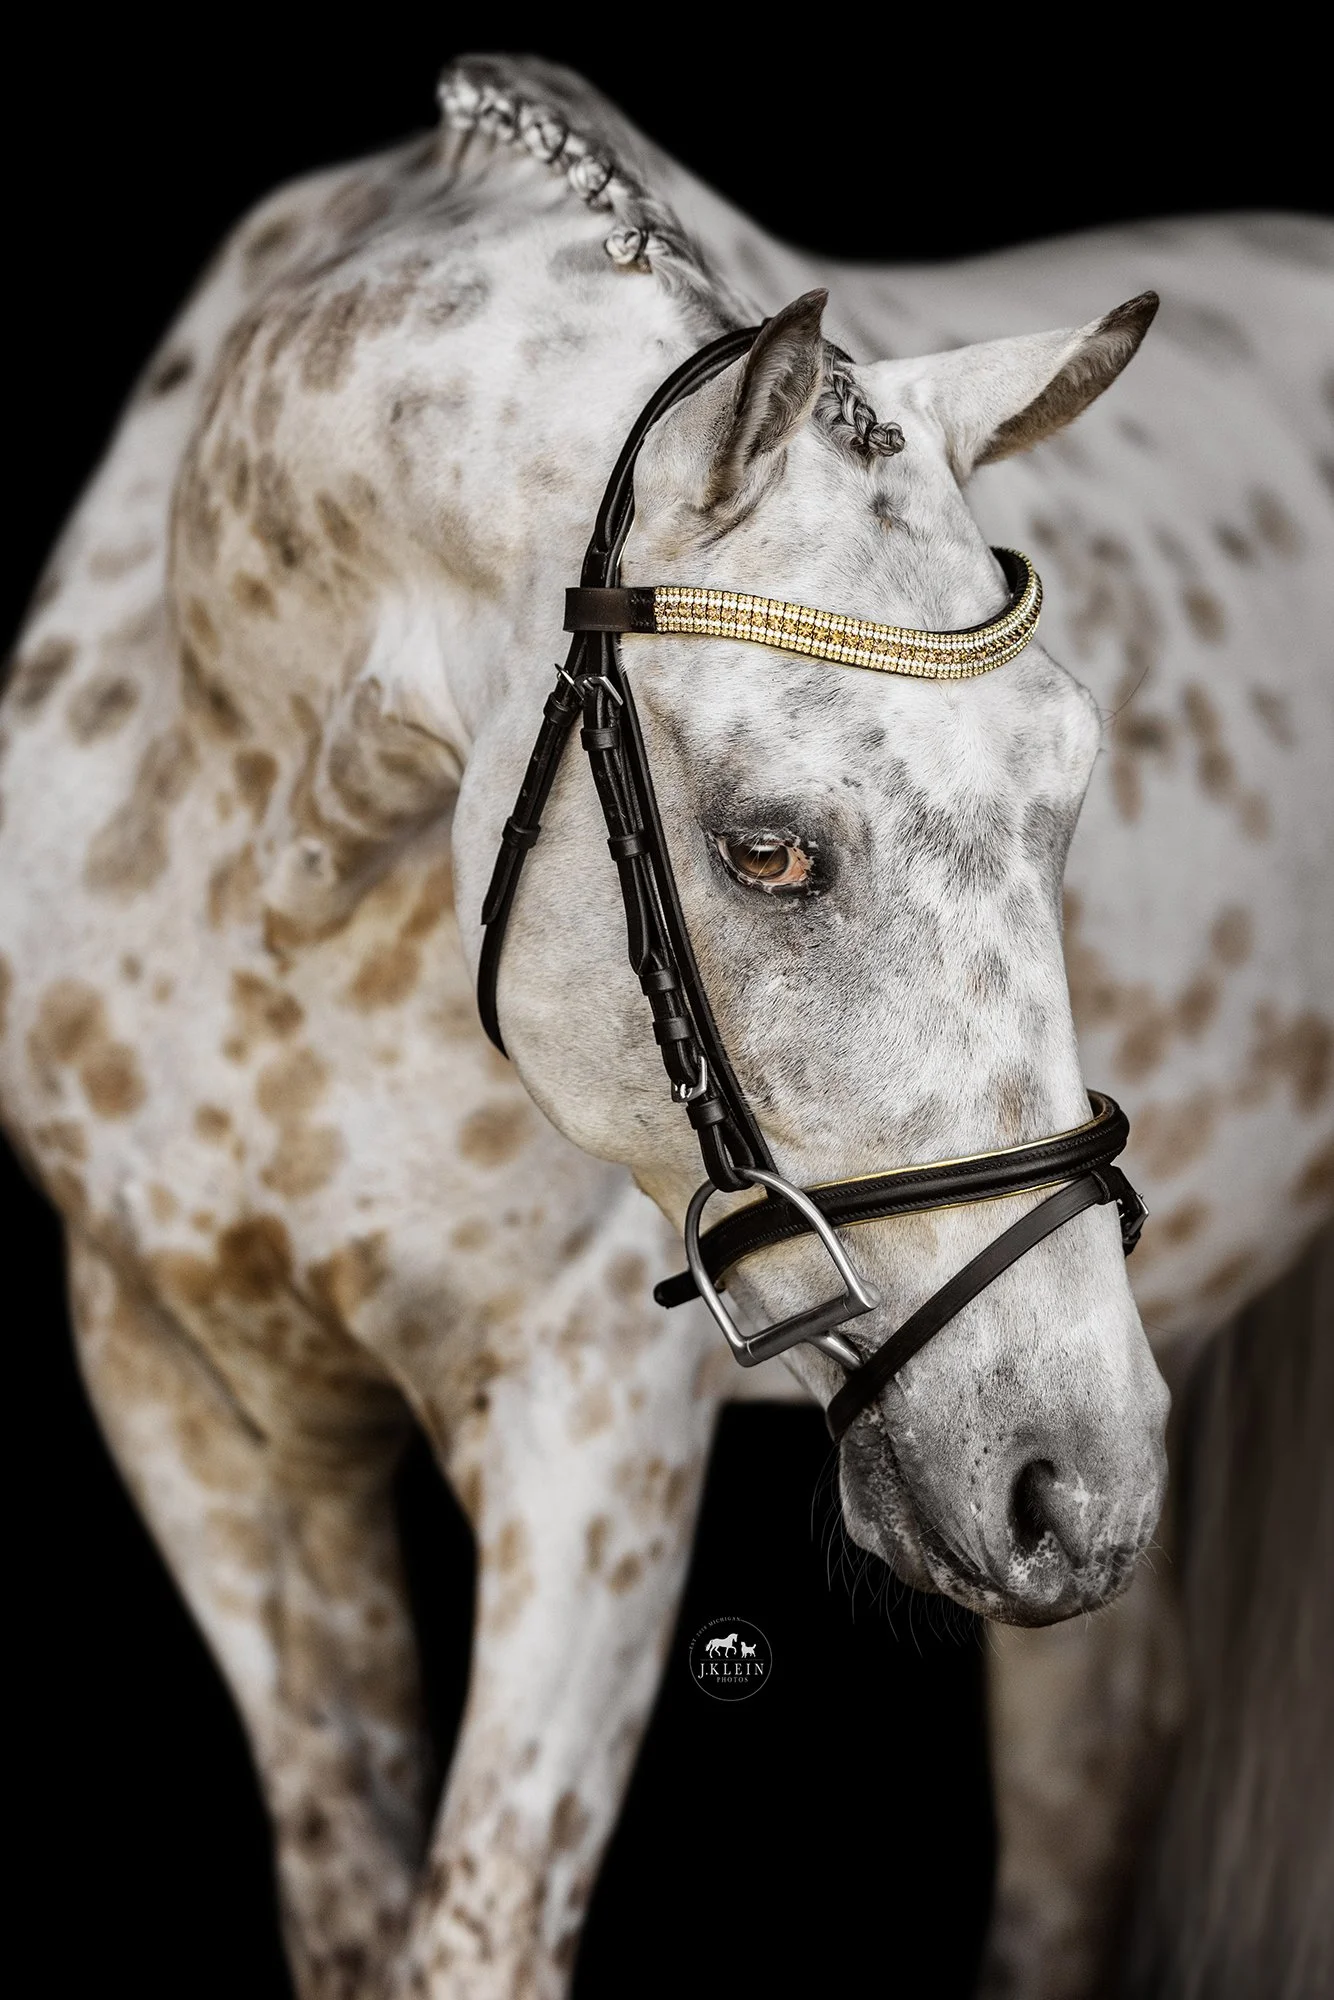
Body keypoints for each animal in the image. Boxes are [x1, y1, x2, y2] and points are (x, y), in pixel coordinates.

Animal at [1, 50, 1330, 2000]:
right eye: (764, 848)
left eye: (1072, 786)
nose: (1066, 1477)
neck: (263, 854)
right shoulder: (197, 1399)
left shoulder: (586, 1436)